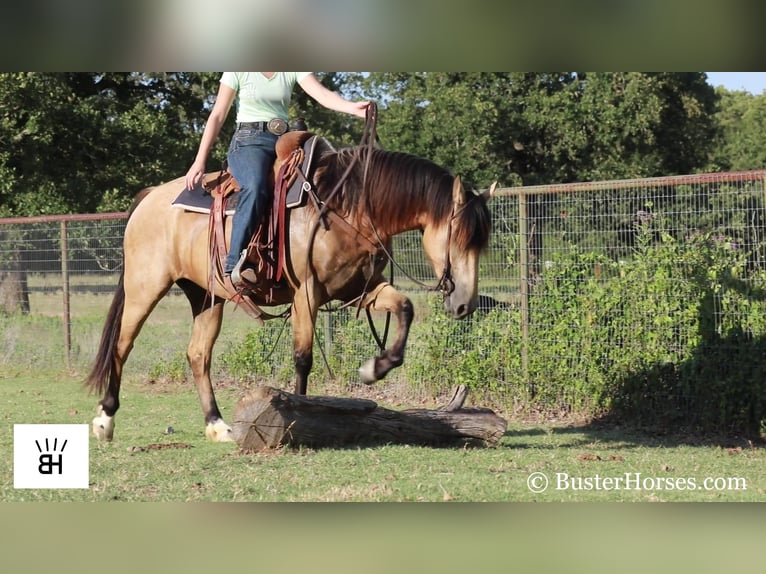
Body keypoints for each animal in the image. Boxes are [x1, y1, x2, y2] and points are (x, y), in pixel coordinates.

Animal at [87, 132, 496, 446]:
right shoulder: (307, 293)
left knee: (198, 355)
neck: (346, 207)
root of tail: (151, 196)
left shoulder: (361, 290)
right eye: (459, 238)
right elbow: (303, 357)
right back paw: (105, 420)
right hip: (145, 287)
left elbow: (406, 308)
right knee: (122, 345)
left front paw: (374, 368)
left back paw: (217, 426)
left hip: (206, 297)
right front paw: (302, 417)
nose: (464, 304)